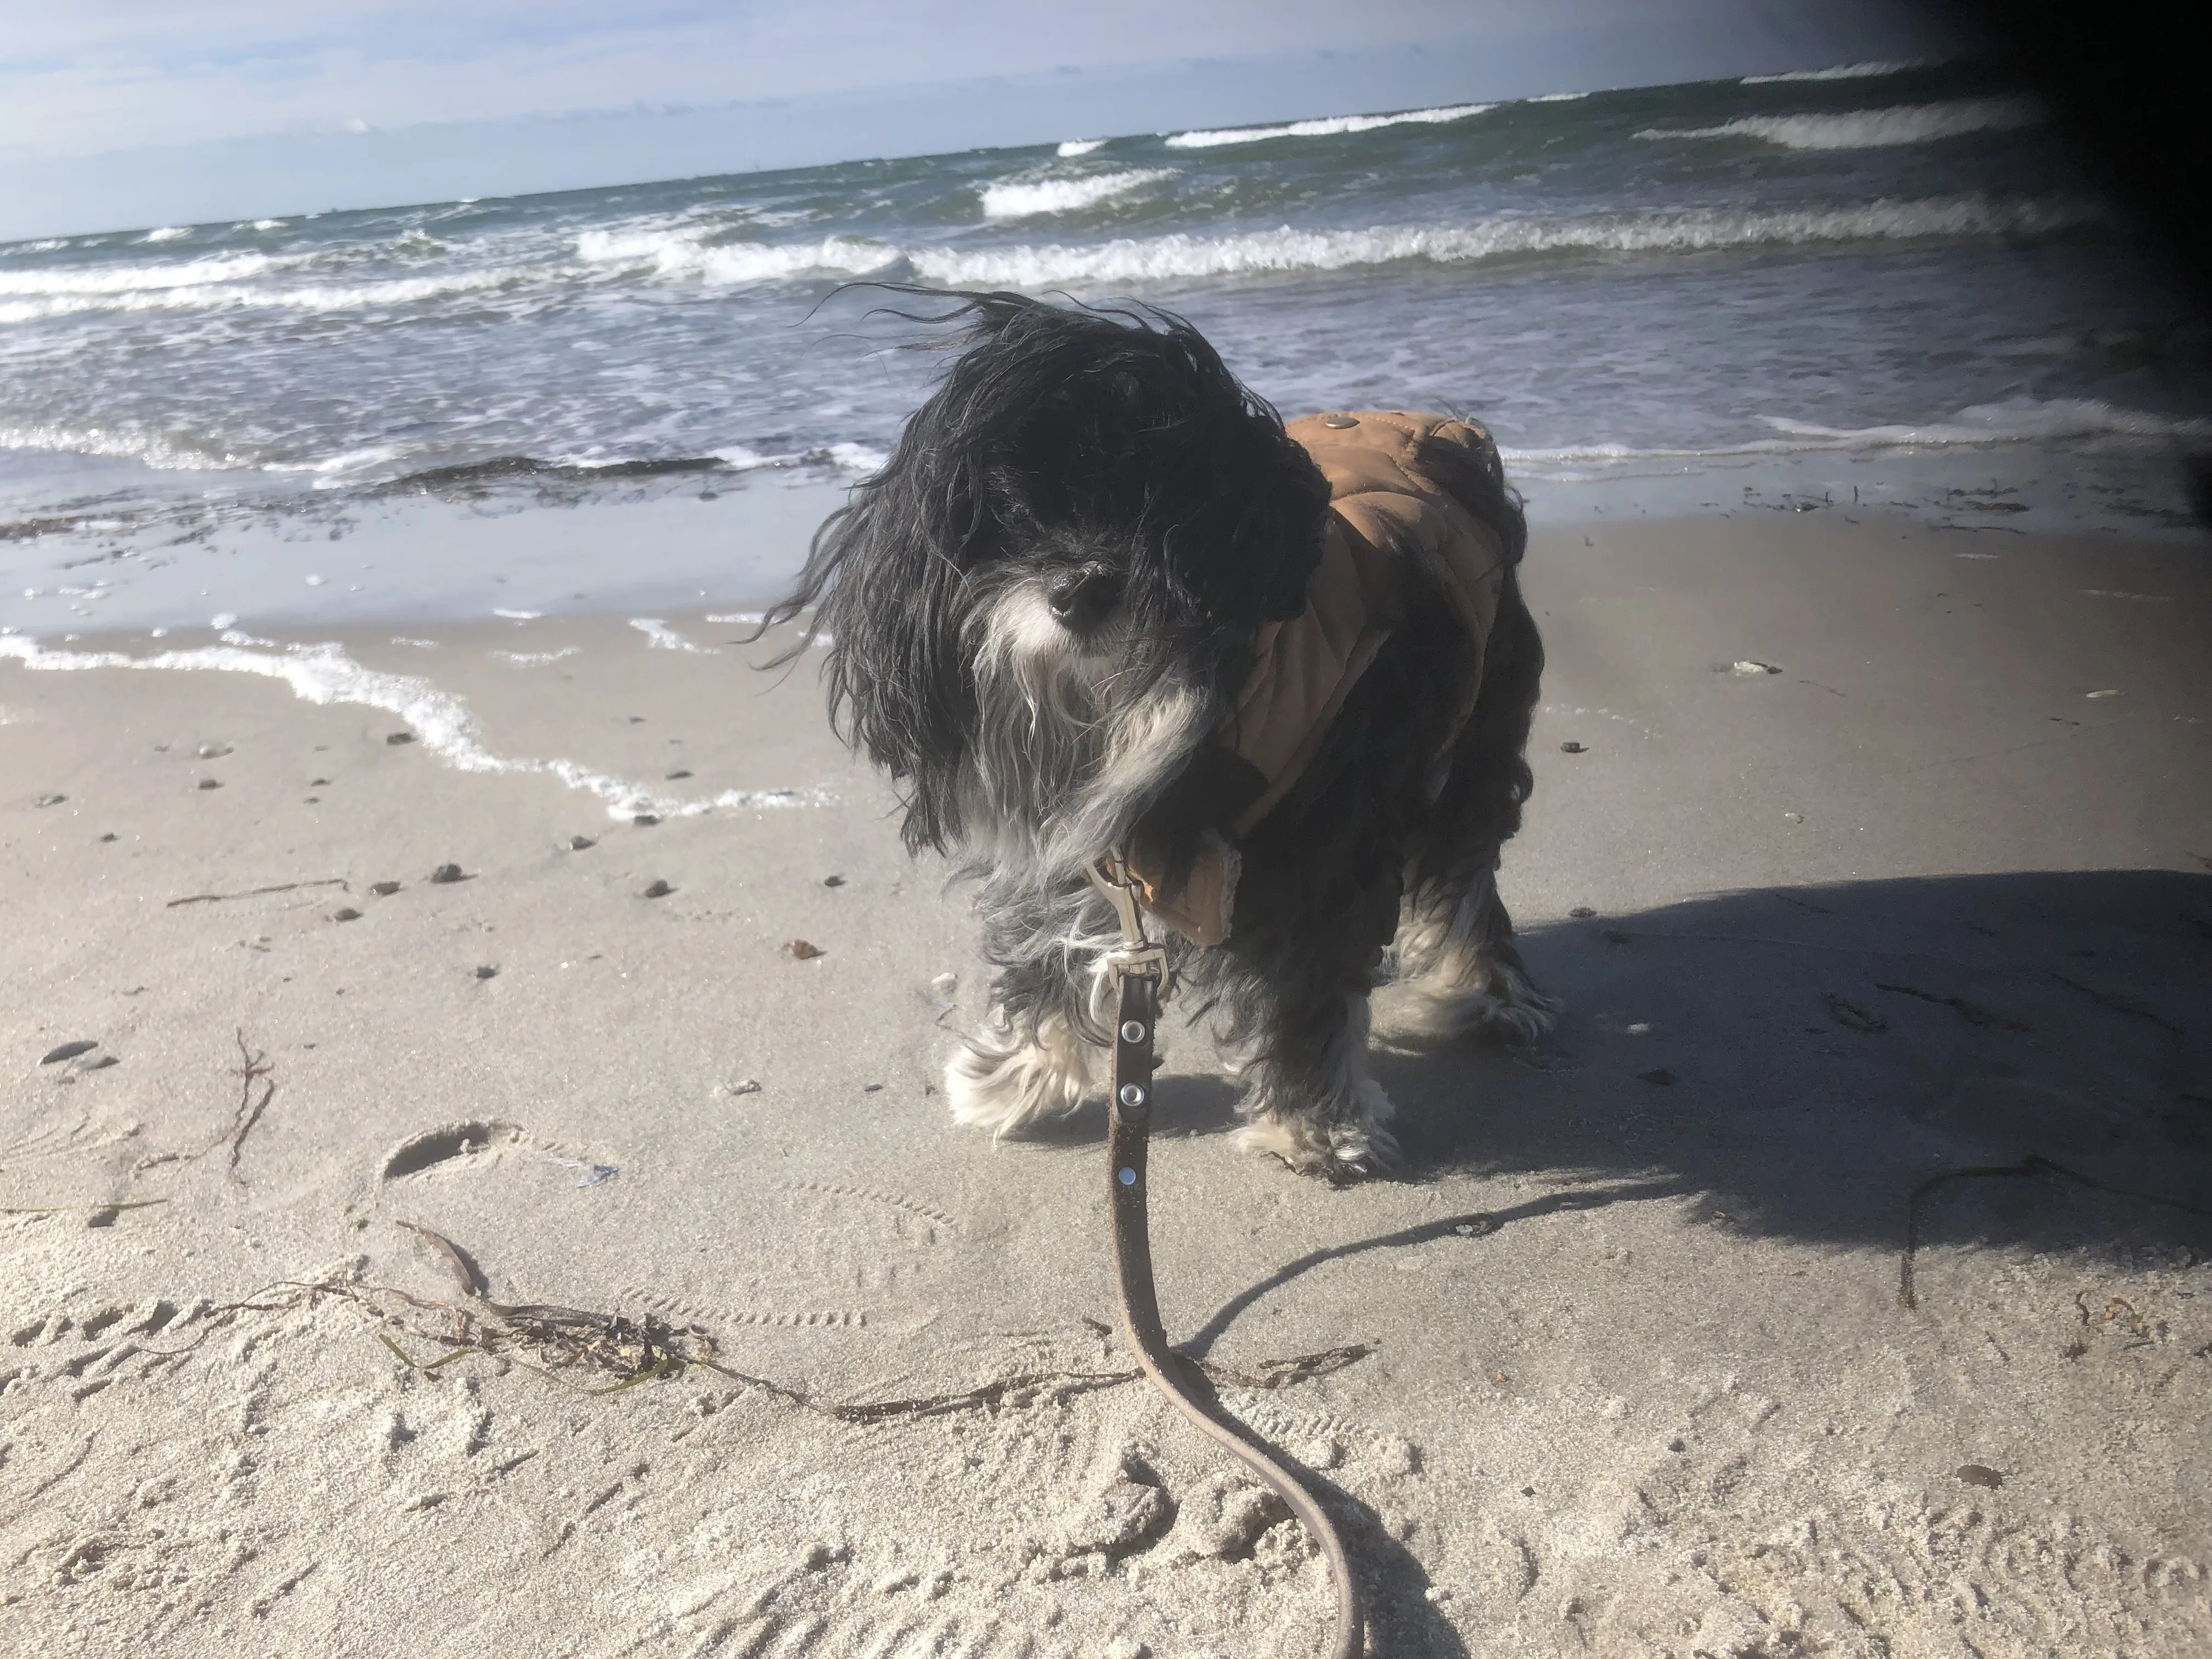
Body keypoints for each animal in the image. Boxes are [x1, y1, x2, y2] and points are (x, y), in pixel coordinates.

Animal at [761, 296, 1557, 1186]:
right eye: (1011, 507)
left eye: (1168, 505)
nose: (1079, 590)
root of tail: (1447, 438)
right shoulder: (1080, 841)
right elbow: (1044, 946)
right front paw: (1017, 1076)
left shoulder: (1324, 856)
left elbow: (1309, 991)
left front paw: (1315, 1129)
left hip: (1476, 742)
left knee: (1465, 878)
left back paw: (1486, 993)